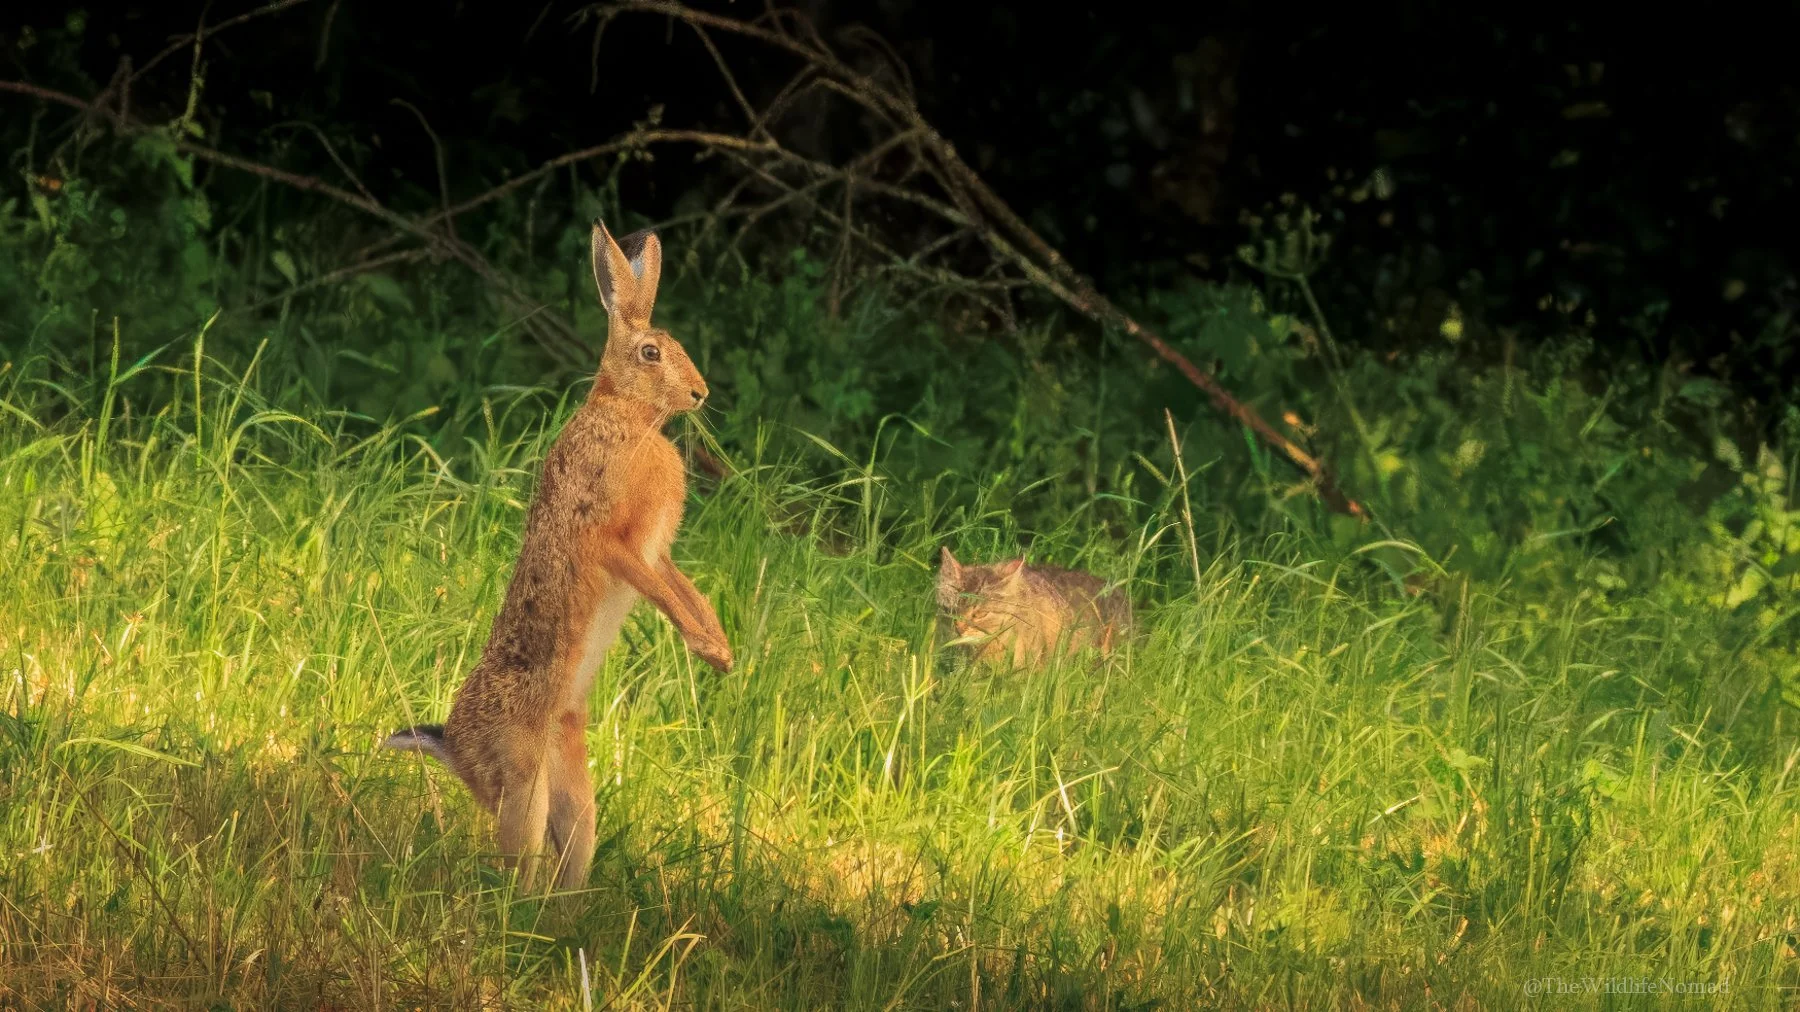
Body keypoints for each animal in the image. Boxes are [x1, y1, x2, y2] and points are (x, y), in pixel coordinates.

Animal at [382, 219, 732, 893]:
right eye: (651, 353)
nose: (700, 394)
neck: (628, 417)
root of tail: (450, 746)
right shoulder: (613, 541)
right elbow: (658, 590)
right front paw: (708, 652)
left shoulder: (657, 551)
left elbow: (682, 589)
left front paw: (722, 651)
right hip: (521, 785)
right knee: (519, 861)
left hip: (572, 788)